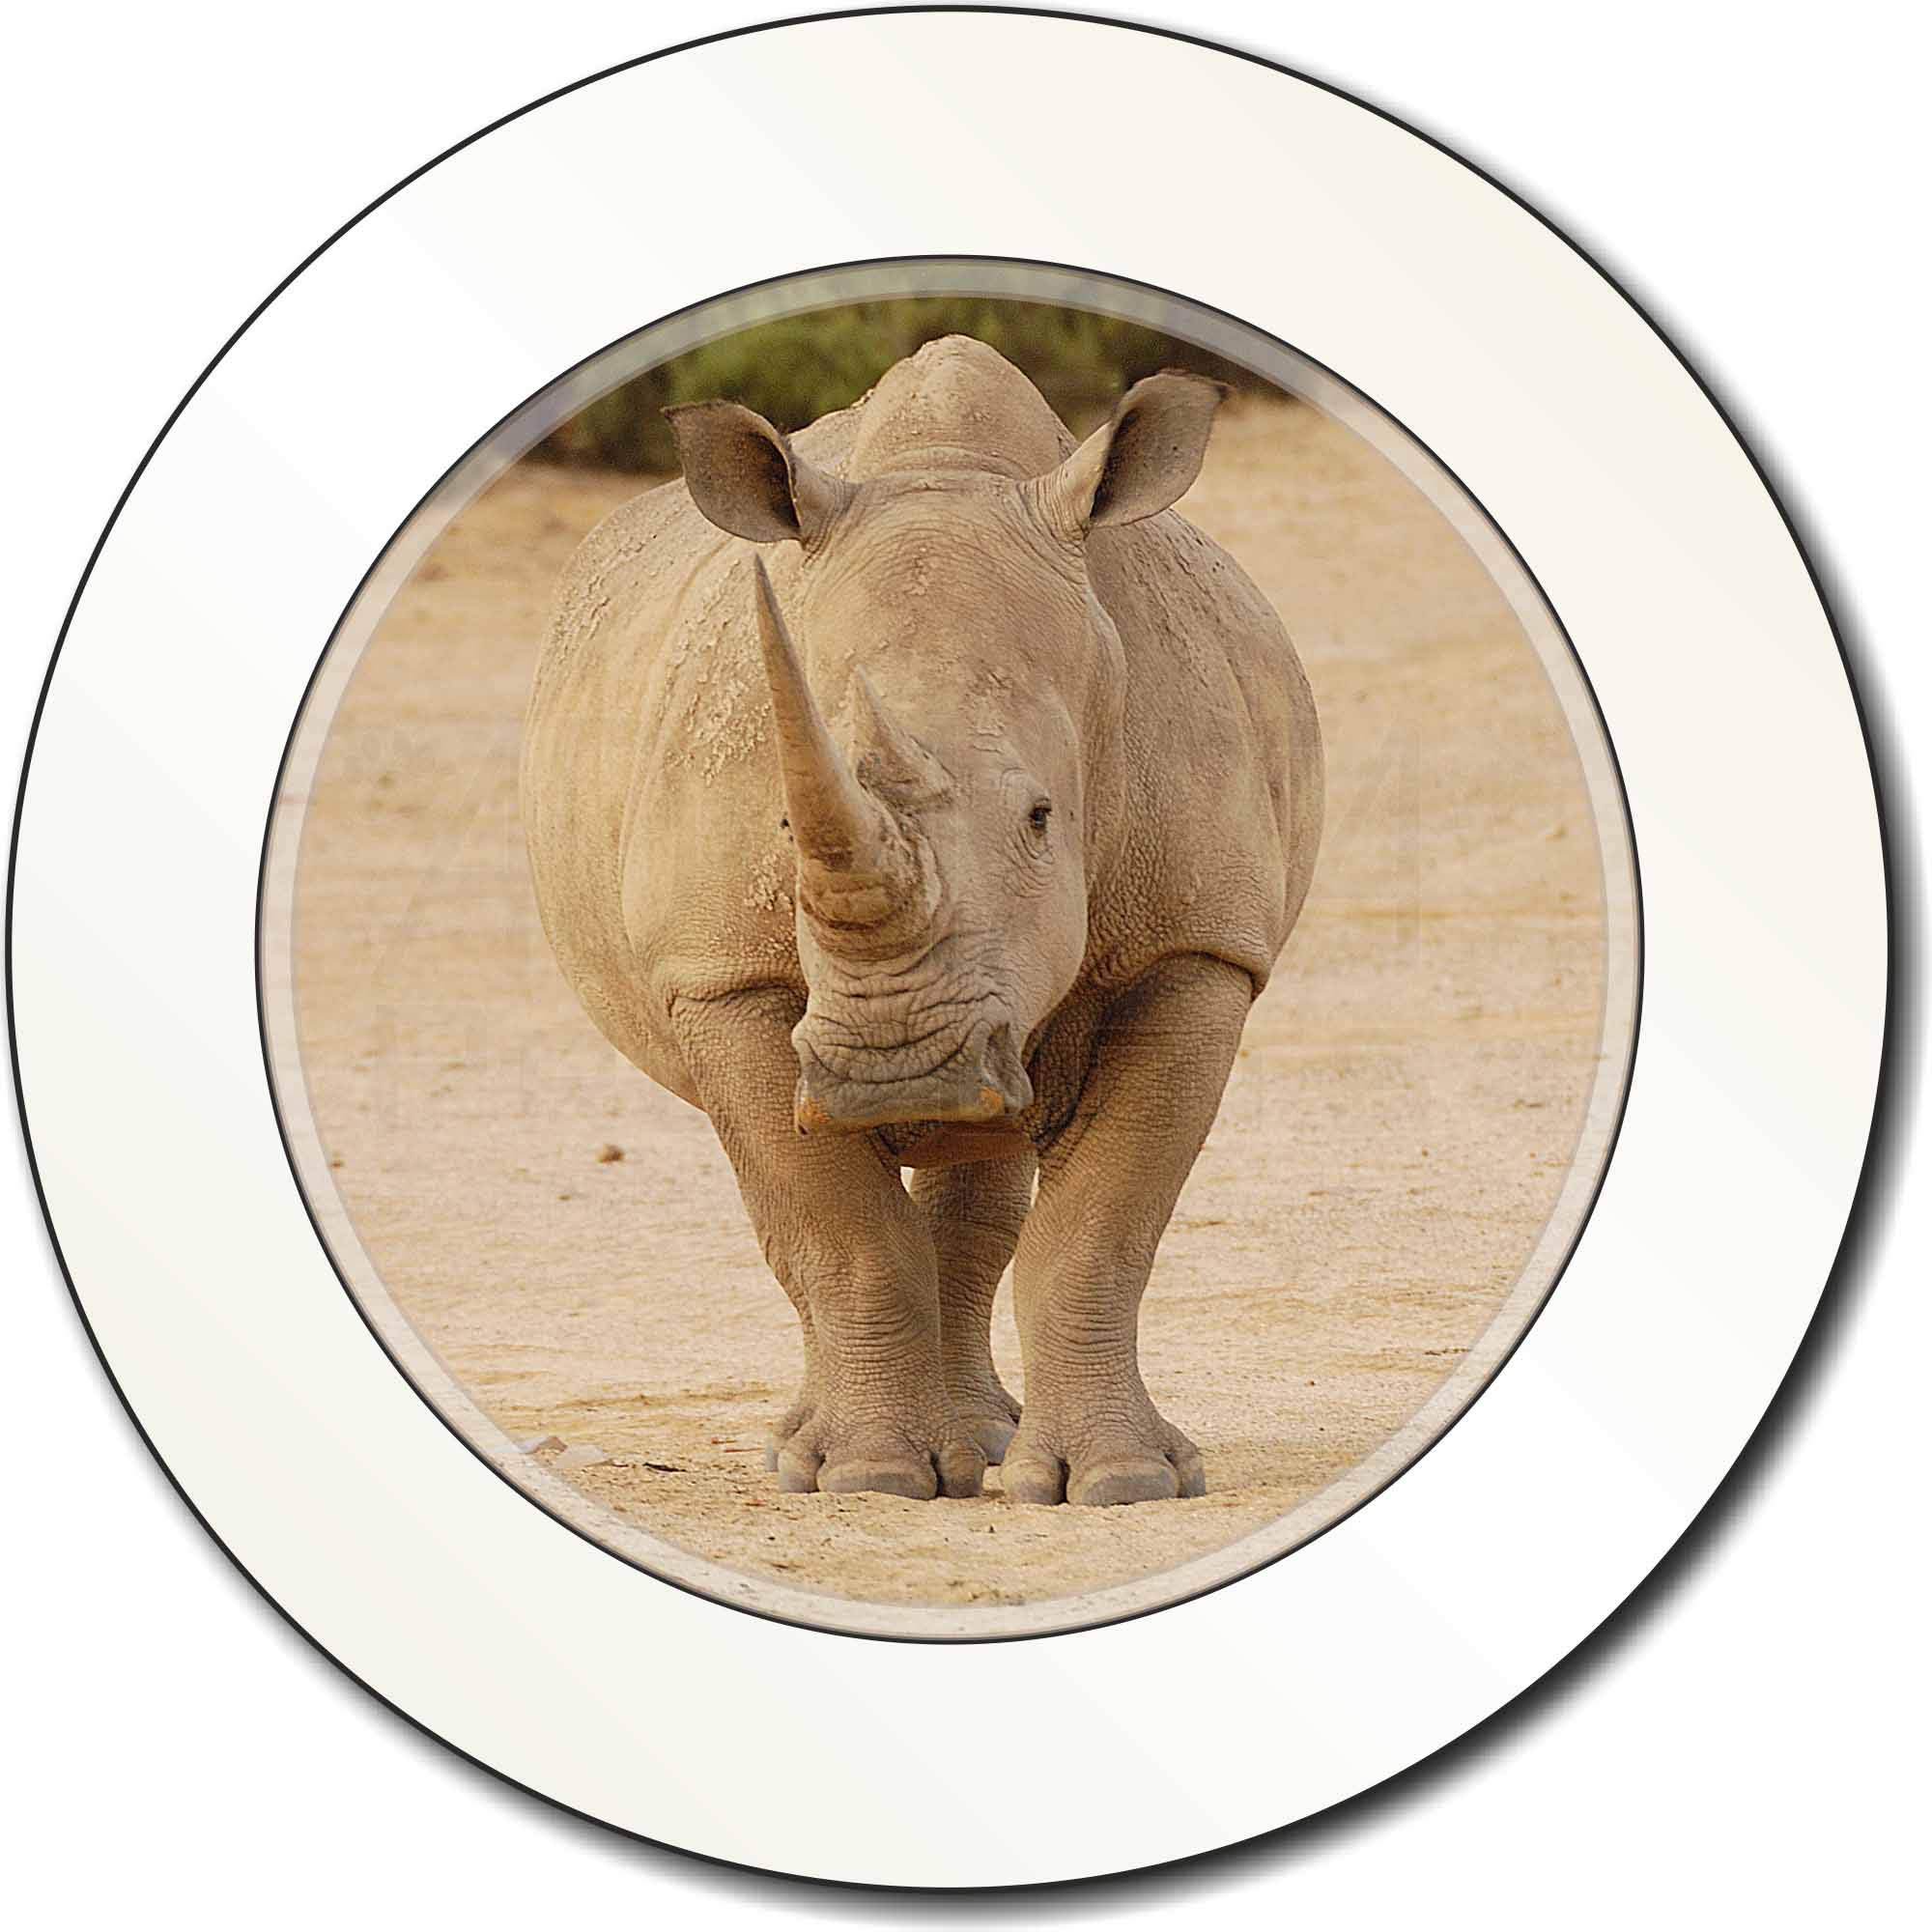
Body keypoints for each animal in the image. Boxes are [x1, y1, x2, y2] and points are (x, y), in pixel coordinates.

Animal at [521, 335, 1321, 1506]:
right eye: (782, 818)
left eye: (1040, 816)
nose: (892, 1071)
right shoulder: (717, 972)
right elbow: (836, 1228)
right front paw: (867, 1477)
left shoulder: (1199, 947)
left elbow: (1103, 1224)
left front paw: (1121, 1482)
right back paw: (815, 1453)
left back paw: (981, 1441)